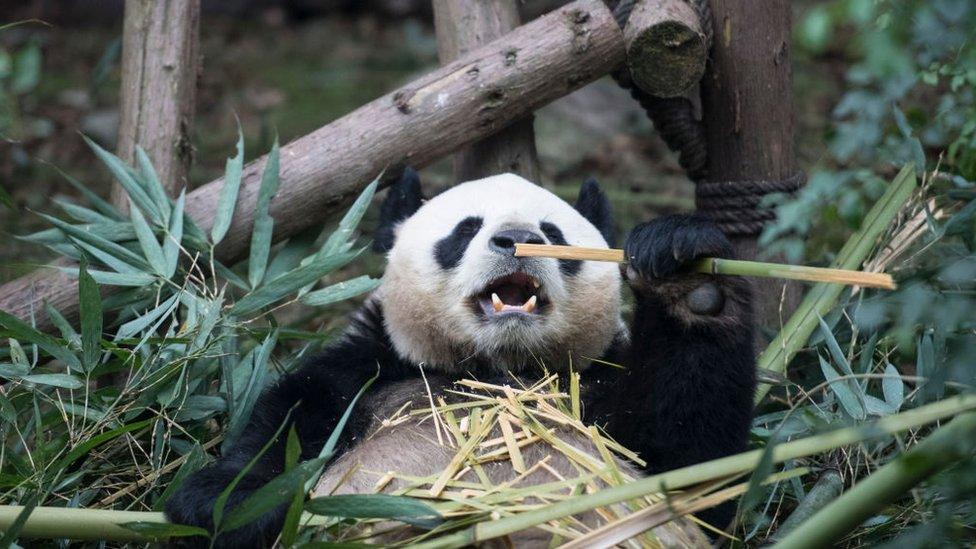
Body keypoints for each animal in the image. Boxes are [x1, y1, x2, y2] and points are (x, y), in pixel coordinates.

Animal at [166, 169, 756, 544]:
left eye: (553, 233)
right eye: (467, 228)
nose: (516, 239)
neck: (496, 370)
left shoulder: (592, 390)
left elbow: (692, 466)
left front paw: (689, 276)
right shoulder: (368, 374)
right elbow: (281, 435)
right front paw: (226, 499)